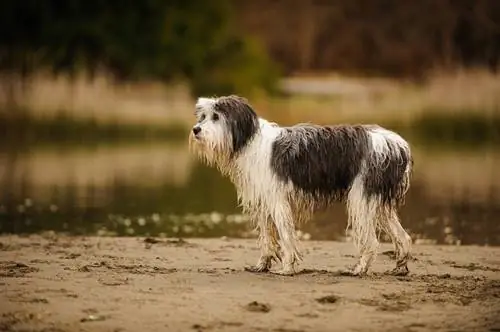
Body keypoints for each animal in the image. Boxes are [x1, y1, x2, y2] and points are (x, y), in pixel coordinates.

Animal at [189, 94, 412, 276]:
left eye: (216, 116)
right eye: (203, 116)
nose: (196, 129)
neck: (249, 142)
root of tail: (397, 144)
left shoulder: (277, 201)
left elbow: (286, 236)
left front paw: (287, 267)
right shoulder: (263, 203)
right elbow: (267, 238)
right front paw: (262, 265)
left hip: (362, 199)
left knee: (372, 241)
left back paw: (360, 269)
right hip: (379, 203)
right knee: (403, 237)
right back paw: (400, 267)